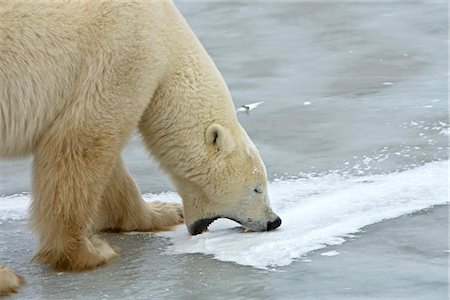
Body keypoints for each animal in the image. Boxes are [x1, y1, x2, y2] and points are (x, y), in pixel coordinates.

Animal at [0, 0, 282, 296]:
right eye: (257, 188)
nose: (274, 221)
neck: (166, 32)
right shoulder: (125, 56)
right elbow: (82, 144)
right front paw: (87, 251)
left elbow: (110, 170)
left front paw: (164, 212)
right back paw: (7, 278)